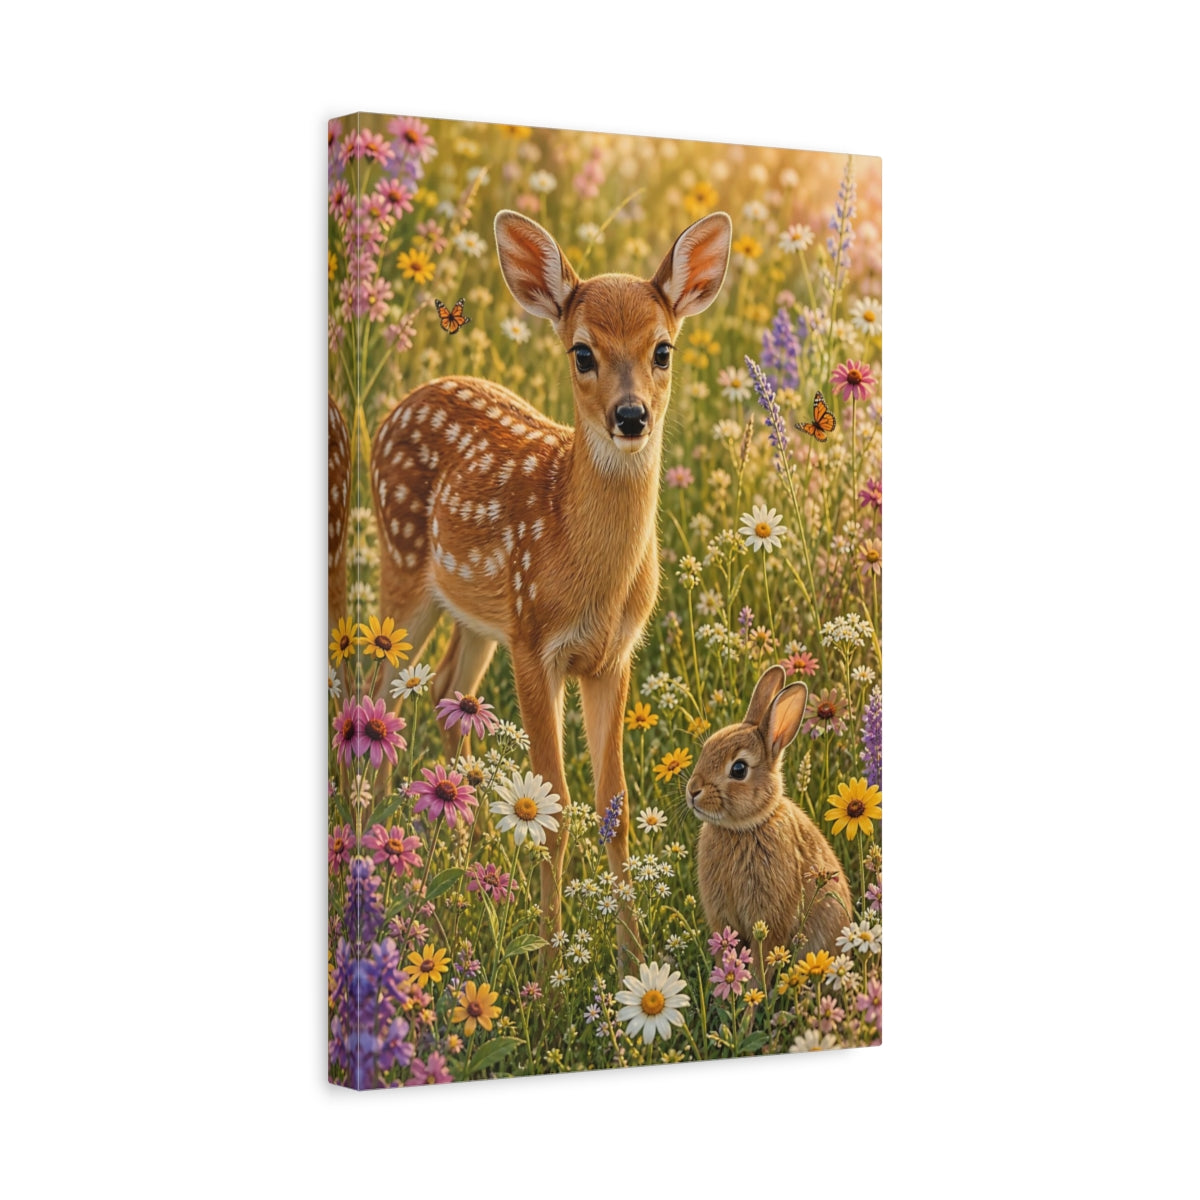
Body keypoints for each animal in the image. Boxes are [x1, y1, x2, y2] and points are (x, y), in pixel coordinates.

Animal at [370, 208, 733, 967]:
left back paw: (463, 854)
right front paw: (550, 963)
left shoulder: (611, 656)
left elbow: (614, 810)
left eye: (663, 349)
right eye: (582, 352)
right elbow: (557, 808)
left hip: (479, 616)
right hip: (404, 568)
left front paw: (631, 962)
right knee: (374, 692)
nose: (631, 416)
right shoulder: (537, 643)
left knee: (447, 693)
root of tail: (400, 404)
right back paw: (380, 851)